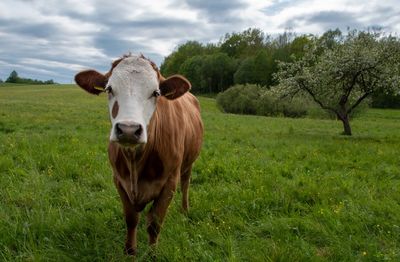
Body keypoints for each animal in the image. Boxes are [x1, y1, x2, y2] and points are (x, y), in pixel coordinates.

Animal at [74, 53, 203, 256]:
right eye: (109, 89)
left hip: (189, 164)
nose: (128, 130)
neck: (136, 163)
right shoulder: (119, 181)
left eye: (156, 93)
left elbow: (155, 223)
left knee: (186, 184)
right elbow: (131, 219)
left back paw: (185, 210)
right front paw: (130, 251)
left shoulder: (170, 182)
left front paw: (152, 254)